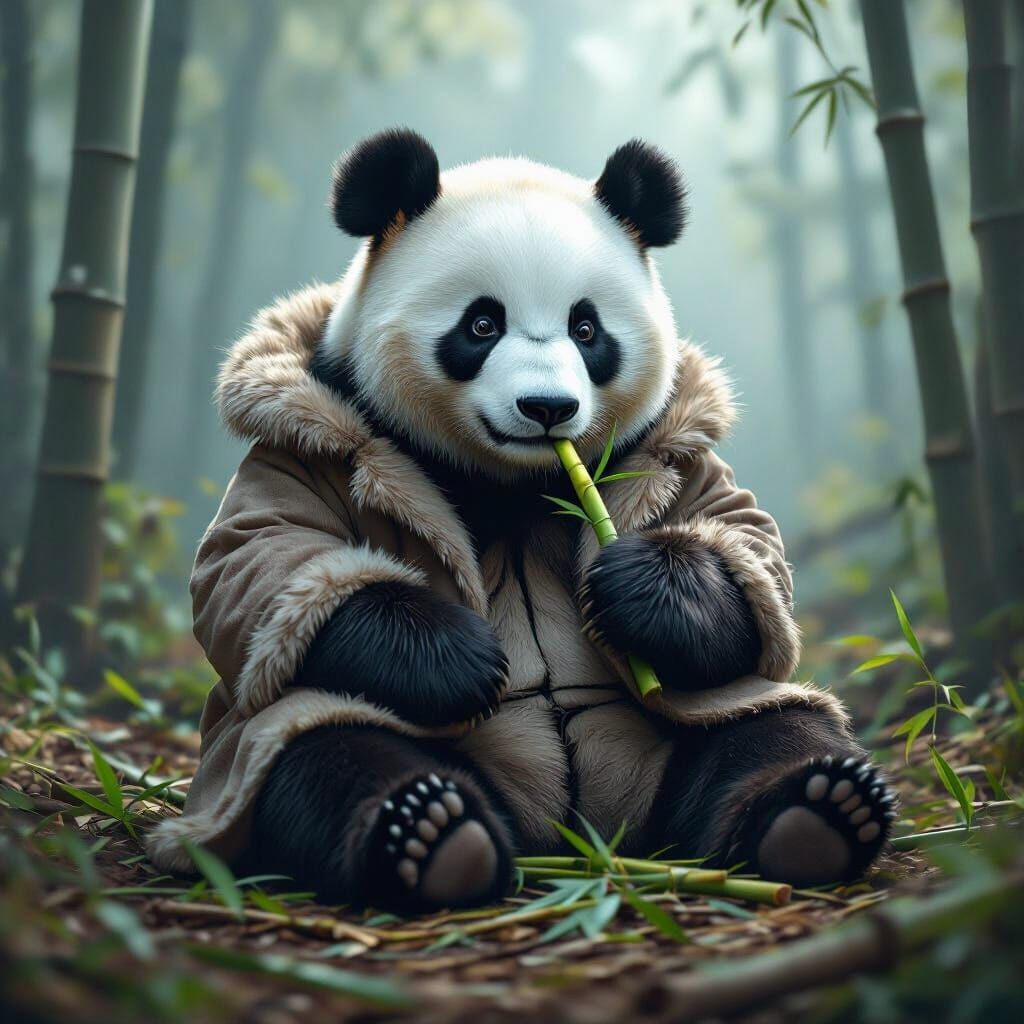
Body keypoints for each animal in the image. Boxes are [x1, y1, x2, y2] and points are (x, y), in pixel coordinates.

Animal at [148, 129, 896, 911]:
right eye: (482, 323)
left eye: (587, 328)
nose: (548, 407)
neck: (514, 480)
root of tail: (581, 838)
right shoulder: (311, 440)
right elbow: (260, 558)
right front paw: (460, 657)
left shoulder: (674, 452)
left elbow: (751, 550)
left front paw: (638, 589)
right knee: (320, 743)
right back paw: (434, 834)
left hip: (695, 728)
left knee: (774, 723)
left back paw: (819, 811)